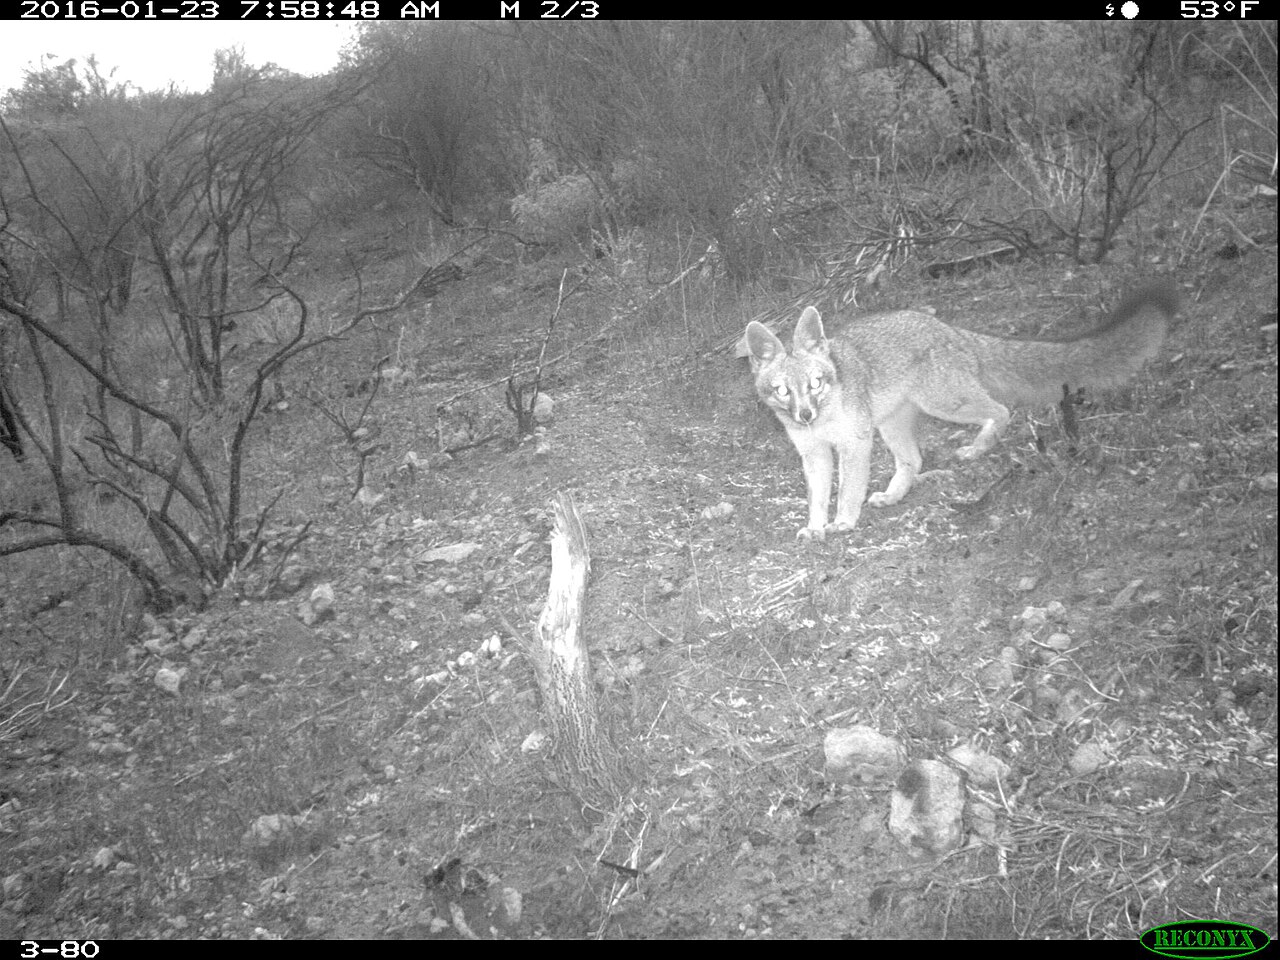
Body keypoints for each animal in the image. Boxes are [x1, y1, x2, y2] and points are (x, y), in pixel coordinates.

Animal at [745, 280, 1179, 540]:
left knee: (1001, 410)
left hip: (943, 403)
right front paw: (815, 526)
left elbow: (849, 489)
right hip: (894, 426)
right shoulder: (815, 455)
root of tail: (949, 329)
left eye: (815, 384)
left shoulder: (854, 444)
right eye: (783, 391)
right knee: (914, 461)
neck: (823, 421)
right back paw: (894, 495)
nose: (805, 416)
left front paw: (844, 521)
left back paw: (977, 448)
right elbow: (818, 497)